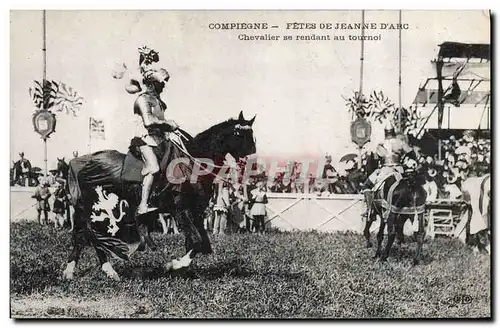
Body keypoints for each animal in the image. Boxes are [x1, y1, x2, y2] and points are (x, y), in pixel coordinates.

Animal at [62, 111, 256, 280]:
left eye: (252, 135)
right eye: (240, 134)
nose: (250, 163)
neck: (192, 164)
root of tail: (81, 163)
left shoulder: (197, 212)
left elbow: (200, 244)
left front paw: (181, 269)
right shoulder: (182, 210)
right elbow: (196, 242)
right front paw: (173, 266)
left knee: (92, 237)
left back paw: (109, 271)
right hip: (93, 209)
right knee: (83, 235)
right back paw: (70, 272)